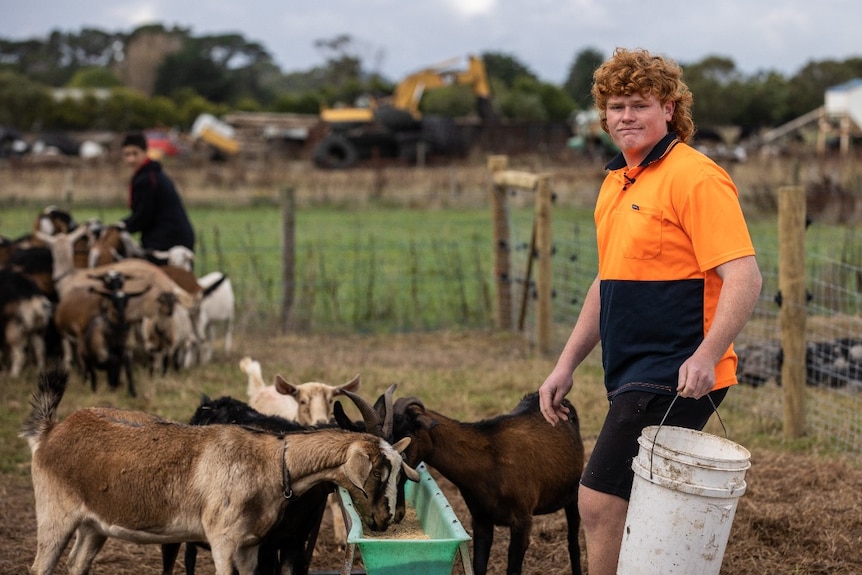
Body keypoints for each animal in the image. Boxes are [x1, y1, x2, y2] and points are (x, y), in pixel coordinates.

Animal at [22, 368, 420, 575]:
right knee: (41, 566)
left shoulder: (257, 545)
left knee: (77, 563)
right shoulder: (224, 541)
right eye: (380, 469)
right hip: (55, 515)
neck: (274, 459)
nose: (388, 518)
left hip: (93, 525)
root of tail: (51, 430)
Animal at [394, 392, 588, 575]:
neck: (489, 460)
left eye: (406, 436)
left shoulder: (523, 520)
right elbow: (478, 567)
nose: (397, 514)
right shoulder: (481, 519)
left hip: (573, 496)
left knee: (573, 543)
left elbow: (513, 569)